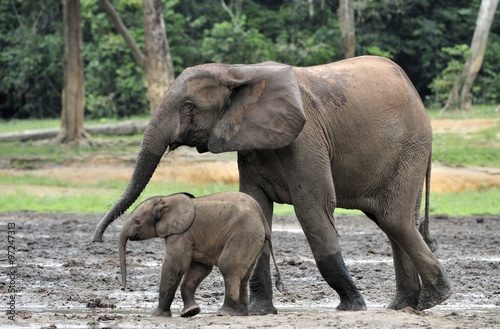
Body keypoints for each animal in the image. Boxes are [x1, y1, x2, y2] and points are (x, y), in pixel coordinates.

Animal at [116, 191, 282, 316]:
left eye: (137, 221)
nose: (123, 288)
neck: (167, 199)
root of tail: (262, 219)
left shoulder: (181, 234)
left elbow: (175, 266)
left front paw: (157, 315)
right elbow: (199, 269)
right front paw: (191, 312)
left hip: (244, 235)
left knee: (229, 267)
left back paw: (225, 313)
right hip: (254, 241)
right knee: (245, 275)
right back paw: (240, 314)